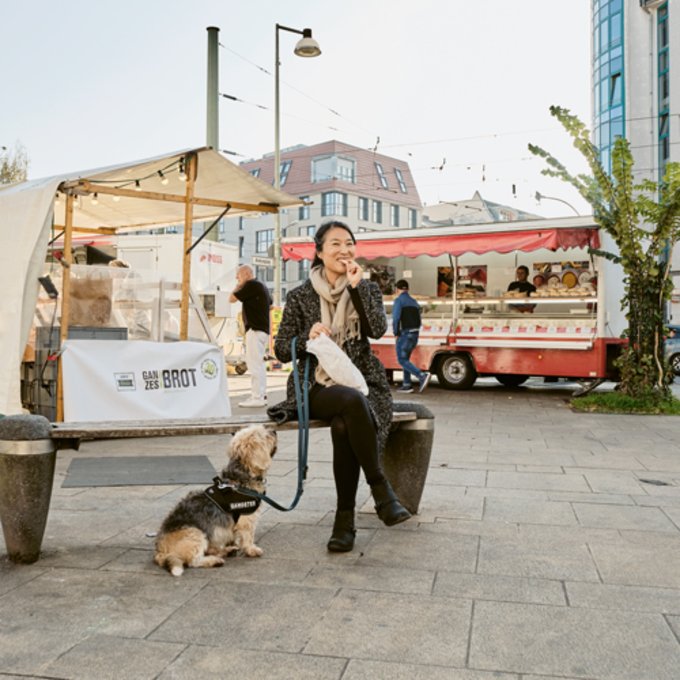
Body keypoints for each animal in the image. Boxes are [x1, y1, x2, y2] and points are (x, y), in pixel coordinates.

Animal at [154, 424, 276, 572]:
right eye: (263, 435)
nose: (274, 431)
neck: (240, 478)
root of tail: (160, 550)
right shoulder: (246, 521)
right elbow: (248, 537)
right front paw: (252, 549)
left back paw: (226, 551)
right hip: (196, 534)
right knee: (194, 561)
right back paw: (214, 560)